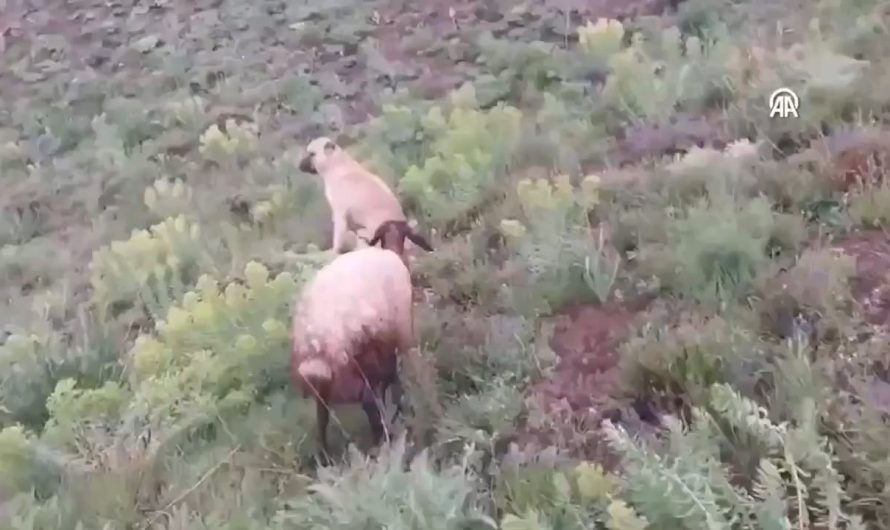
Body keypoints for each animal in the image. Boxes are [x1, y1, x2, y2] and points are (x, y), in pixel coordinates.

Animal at [291, 219, 433, 459]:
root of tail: (317, 340)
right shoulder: (397, 340)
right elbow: (394, 379)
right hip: (355, 366)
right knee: (368, 403)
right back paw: (381, 441)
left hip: (323, 386)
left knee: (322, 419)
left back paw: (325, 457)